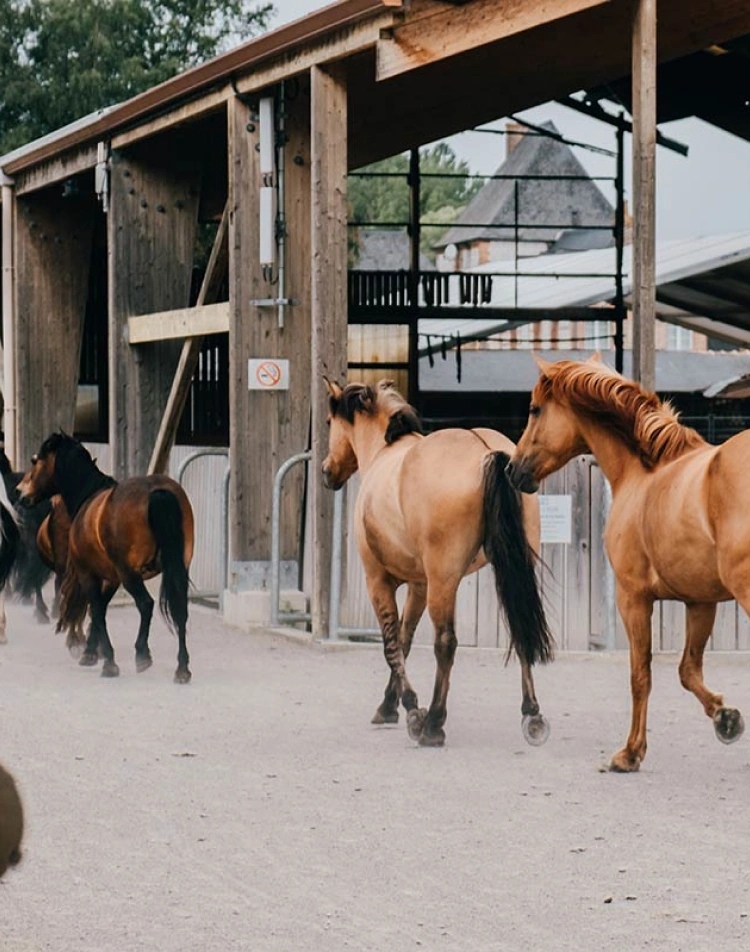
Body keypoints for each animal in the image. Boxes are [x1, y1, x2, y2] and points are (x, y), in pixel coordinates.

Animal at [17, 433, 195, 683]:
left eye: (35, 461)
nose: (21, 493)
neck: (88, 497)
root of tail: (157, 492)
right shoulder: (111, 578)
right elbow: (98, 609)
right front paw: (91, 652)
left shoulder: (89, 574)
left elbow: (97, 610)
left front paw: (108, 661)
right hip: (178, 567)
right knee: (180, 609)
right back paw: (182, 668)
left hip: (130, 574)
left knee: (146, 604)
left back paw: (142, 654)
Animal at [323, 378, 553, 747]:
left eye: (330, 422)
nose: (326, 472)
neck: (385, 452)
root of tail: (486, 452)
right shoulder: (419, 584)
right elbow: (404, 640)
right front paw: (388, 705)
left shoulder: (379, 580)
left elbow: (391, 645)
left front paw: (411, 710)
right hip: (511, 570)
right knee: (521, 628)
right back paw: (531, 713)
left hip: (444, 581)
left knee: (446, 643)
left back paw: (433, 722)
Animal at [506, 352, 750, 772]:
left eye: (536, 409)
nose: (513, 469)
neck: (644, 474)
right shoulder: (700, 601)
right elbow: (687, 670)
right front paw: (726, 718)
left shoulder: (632, 599)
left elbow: (641, 675)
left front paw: (630, 753)